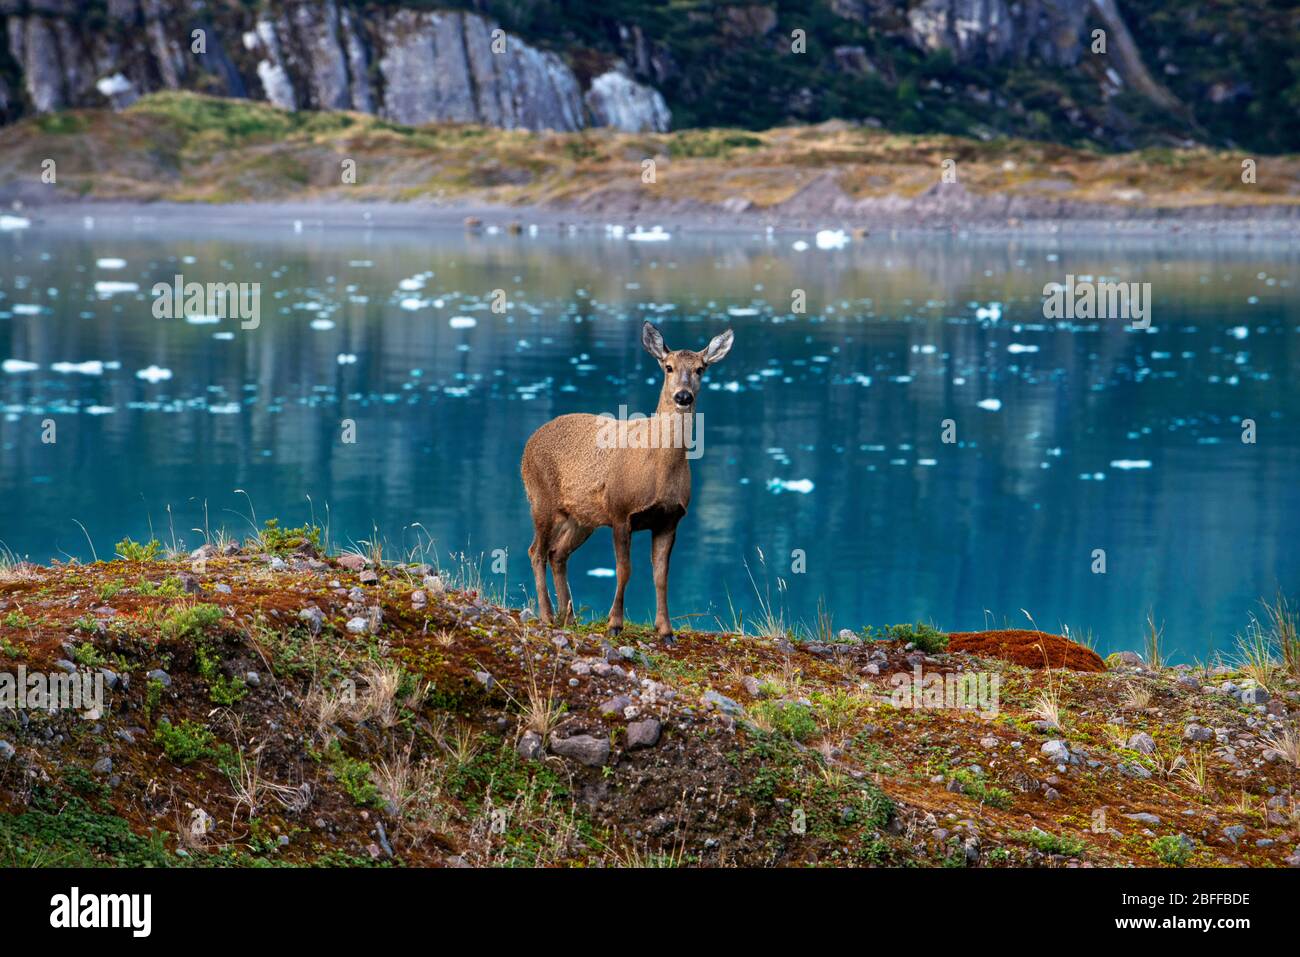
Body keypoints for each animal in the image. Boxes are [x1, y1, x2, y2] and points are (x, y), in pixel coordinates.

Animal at [522, 321, 738, 642]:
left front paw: (666, 630)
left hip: (582, 518)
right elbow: (624, 569)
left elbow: (661, 576)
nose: (683, 396)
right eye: (668, 367)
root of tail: (530, 441)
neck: (659, 470)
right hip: (541, 497)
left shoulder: (669, 520)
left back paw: (568, 617)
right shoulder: (620, 511)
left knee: (556, 553)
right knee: (536, 551)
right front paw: (614, 624)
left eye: (700, 369)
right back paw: (547, 616)